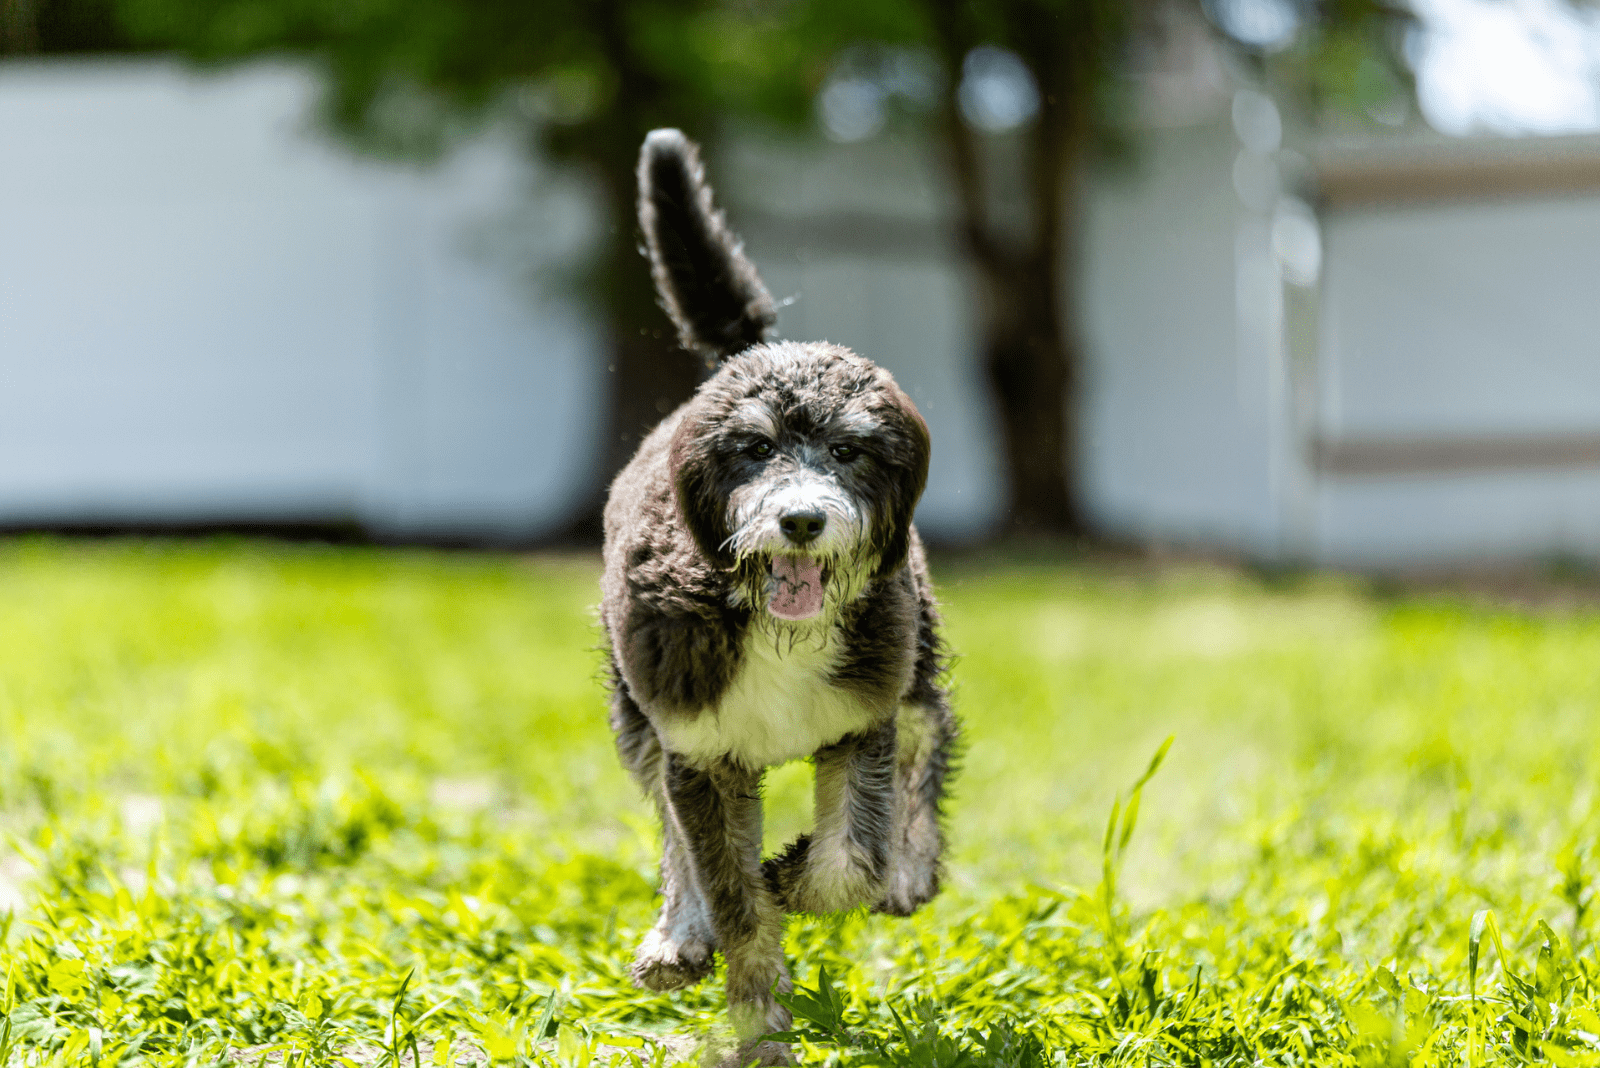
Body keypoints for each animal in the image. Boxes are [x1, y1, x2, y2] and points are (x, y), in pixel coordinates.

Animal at [598, 129, 947, 1061]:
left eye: (850, 451)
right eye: (754, 449)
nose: (800, 520)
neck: (766, 624)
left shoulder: (860, 721)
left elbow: (849, 861)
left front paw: (795, 876)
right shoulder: (697, 751)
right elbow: (732, 898)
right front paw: (759, 1030)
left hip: (914, 659)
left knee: (928, 745)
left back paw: (913, 867)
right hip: (637, 717)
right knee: (671, 836)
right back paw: (678, 936)